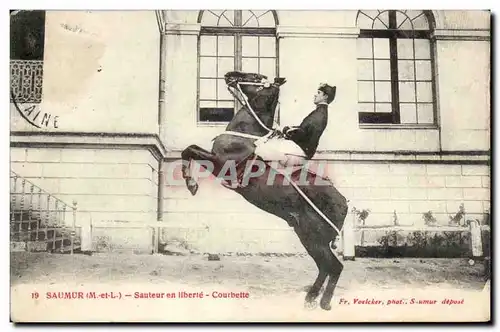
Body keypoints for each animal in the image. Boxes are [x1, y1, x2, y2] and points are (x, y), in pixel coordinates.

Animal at [182, 70, 350, 312]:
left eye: (255, 77)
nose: (230, 74)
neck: (244, 134)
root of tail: (344, 202)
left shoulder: (219, 163)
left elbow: (189, 151)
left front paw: (191, 183)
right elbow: (191, 149)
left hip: (315, 237)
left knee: (333, 266)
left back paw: (323, 302)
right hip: (307, 236)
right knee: (325, 266)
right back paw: (310, 299)